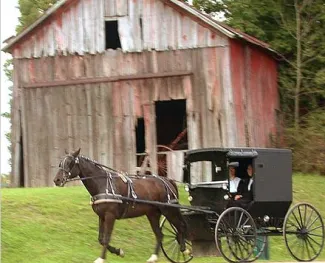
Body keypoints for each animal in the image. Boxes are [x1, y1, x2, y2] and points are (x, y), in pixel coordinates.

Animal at [53, 150, 187, 262]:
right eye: (60, 163)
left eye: (70, 163)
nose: (57, 180)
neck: (103, 184)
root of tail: (167, 180)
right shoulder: (102, 216)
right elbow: (101, 239)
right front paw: (119, 252)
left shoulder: (110, 216)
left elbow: (106, 238)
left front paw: (101, 259)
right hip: (153, 214)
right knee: (160, 234)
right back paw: (153, 257)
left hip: (169, 210)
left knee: (181, 227)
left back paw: (184, 249)